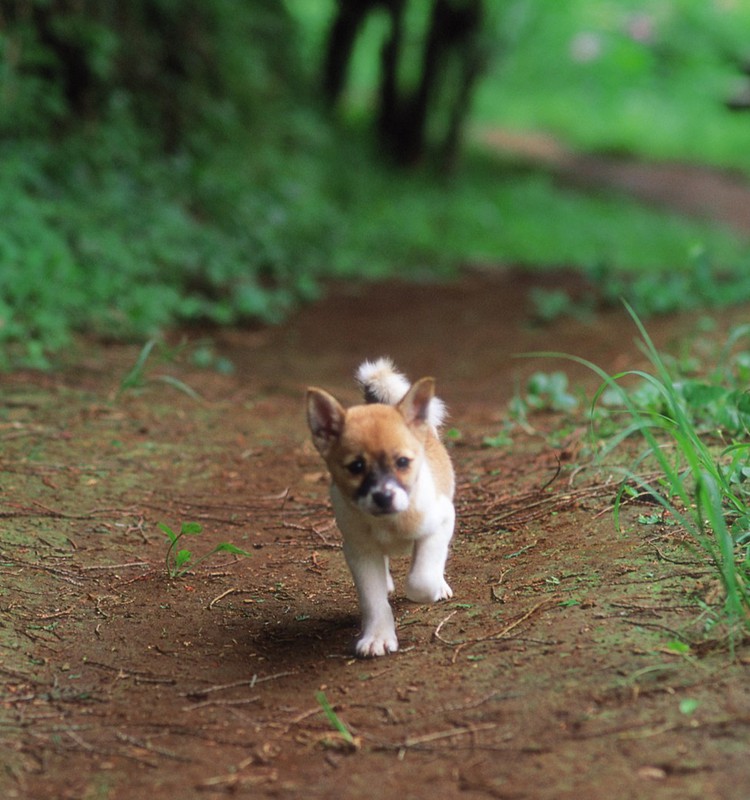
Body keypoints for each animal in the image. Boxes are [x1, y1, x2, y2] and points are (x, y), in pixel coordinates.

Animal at [306, 360, 458, 660]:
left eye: (402, 462)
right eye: (356, 467)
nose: (383, 497)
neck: (389, 523)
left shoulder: (442, 520)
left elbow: (421, 579)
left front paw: (432, 587)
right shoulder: (359, 551)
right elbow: (372, 599)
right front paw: (377, 636)